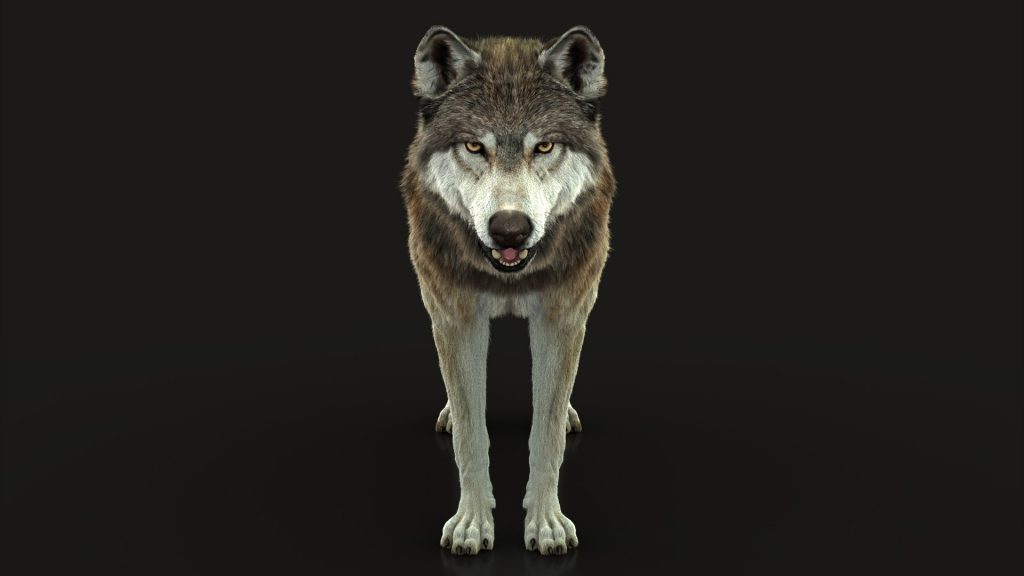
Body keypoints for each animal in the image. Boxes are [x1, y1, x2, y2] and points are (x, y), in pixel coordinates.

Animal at [401, 25, 615, 556]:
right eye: (475, 147)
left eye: (545, 147)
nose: (510, 229)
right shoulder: (456, 317)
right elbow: (471, 435)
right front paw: (472, 523)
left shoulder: (563, 316)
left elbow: (548, 433)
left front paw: (546, 523)